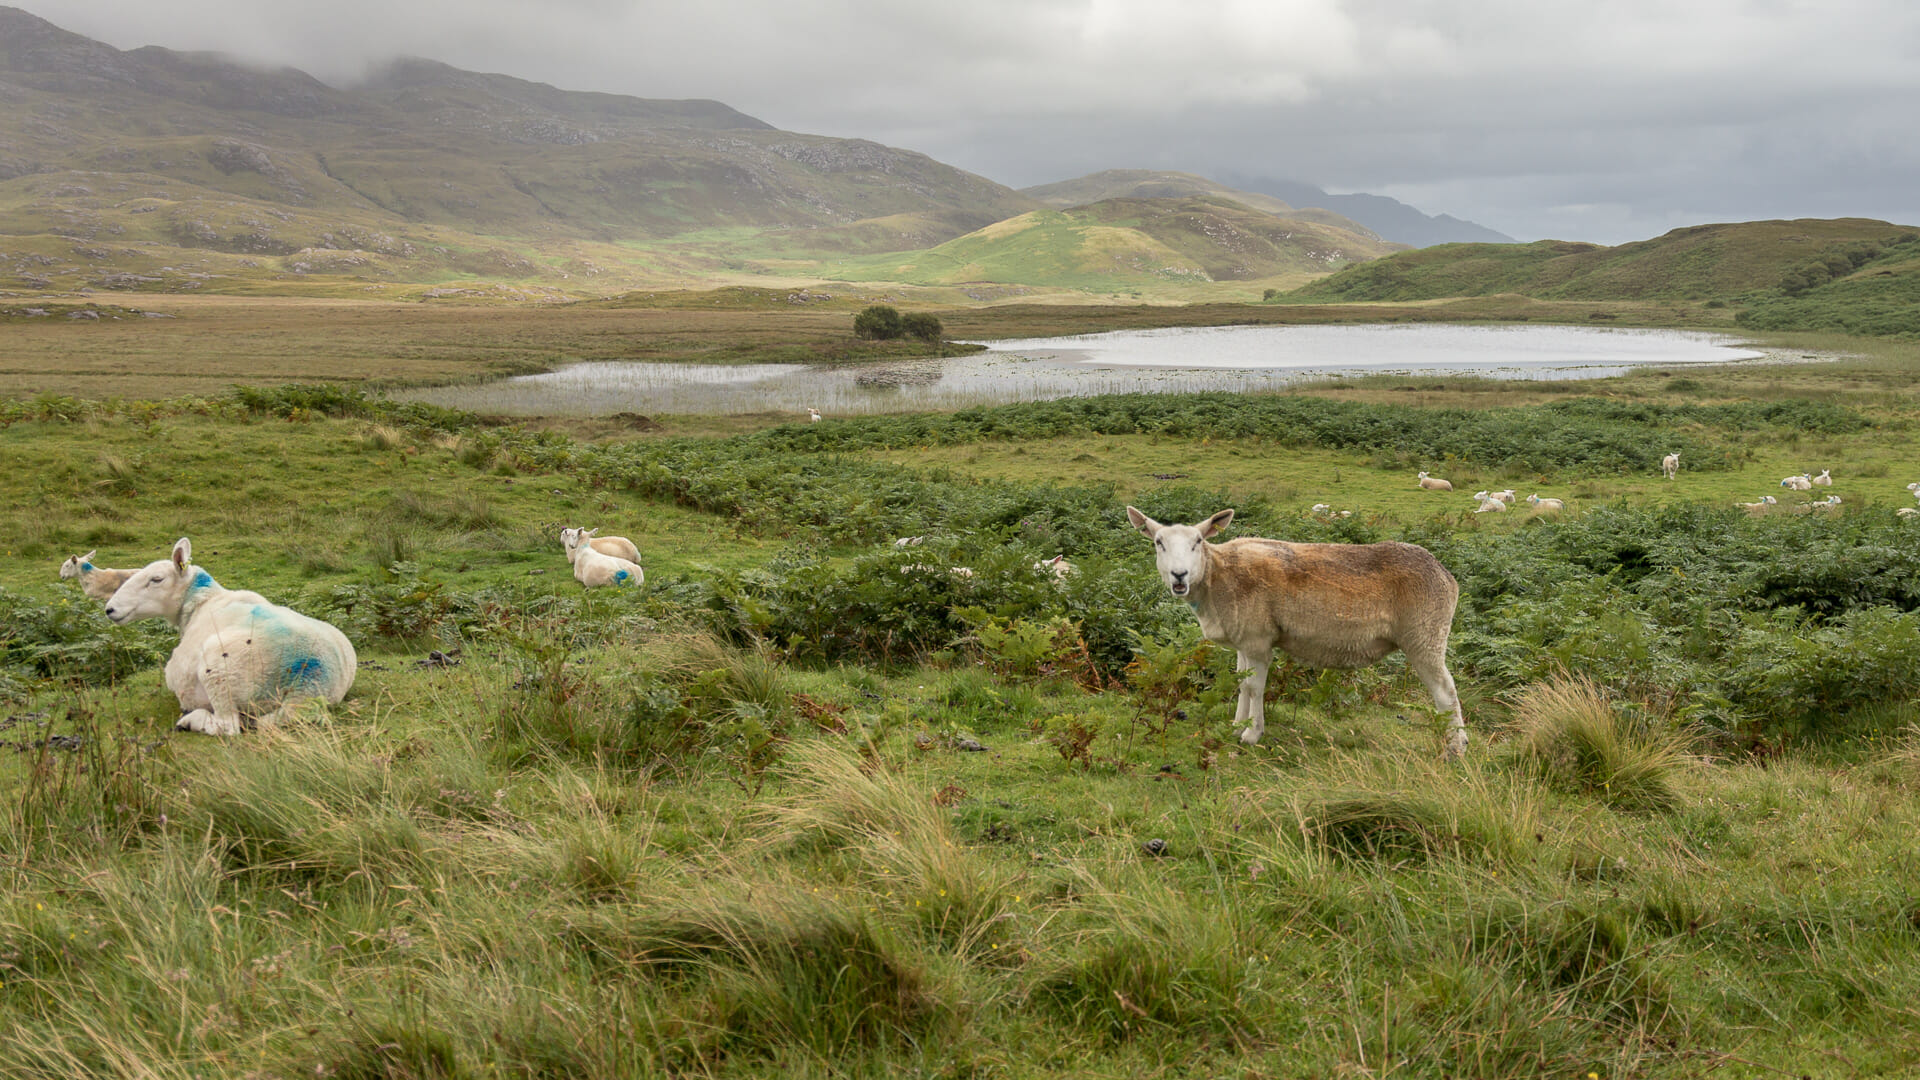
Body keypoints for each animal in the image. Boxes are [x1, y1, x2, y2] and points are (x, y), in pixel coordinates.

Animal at [103, 534, 359, 734]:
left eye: (156, 579)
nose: (110, 609)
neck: (201, 602)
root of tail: (310, 681)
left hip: (219, 669)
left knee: (229, 726)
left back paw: (190, 720)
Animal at [1121, 503, 1466, 757]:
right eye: (1158, 543)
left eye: (1198, 542)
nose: (1179, 575)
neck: (1218, 575)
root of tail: (1445, 574)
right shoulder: (1244, 640)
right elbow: (1242, 682)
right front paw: (1237, 725)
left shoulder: (1258, 639)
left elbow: (1255, 687)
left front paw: (1252, 734)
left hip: (1425, 635)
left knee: (1446, 691)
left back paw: (1455, 748)